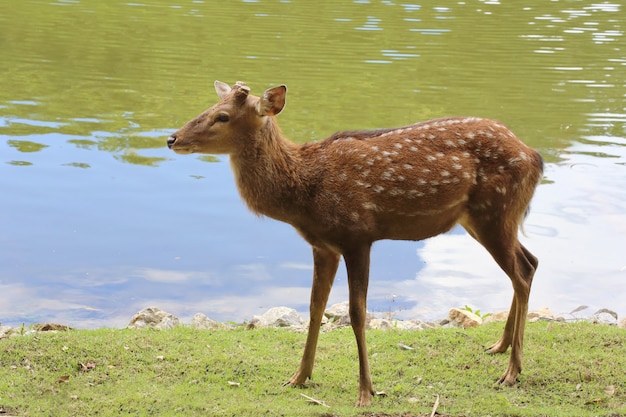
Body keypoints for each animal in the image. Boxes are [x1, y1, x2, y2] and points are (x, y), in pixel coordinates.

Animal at [166, 79, 540, 404]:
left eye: (223, 116)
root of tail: (533, 156)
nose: (172, 138)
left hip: (494, 212)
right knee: (531, 261)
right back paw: (500, 345)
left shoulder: (358, 236)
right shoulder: (322, 245)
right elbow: (315, 307)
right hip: (483, 219)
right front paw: (298, 377)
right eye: (210, 106)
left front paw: (366, 391)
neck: (303, 194)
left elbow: (356, 313)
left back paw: (512, 371)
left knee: (521, 272)